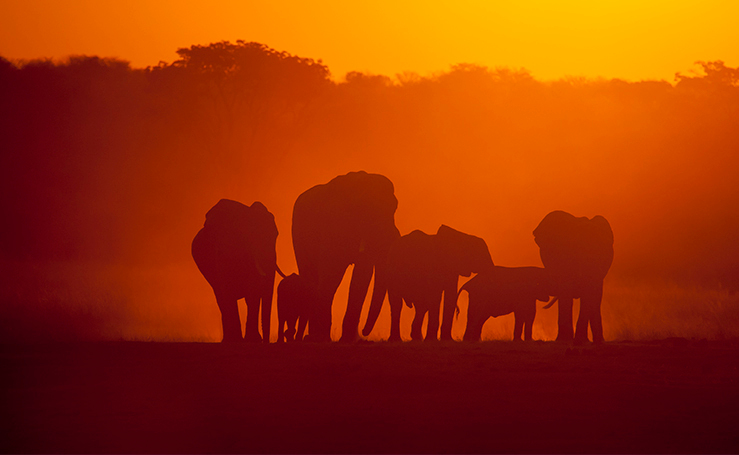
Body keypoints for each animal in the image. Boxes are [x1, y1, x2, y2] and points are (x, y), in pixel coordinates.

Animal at [191, 199, 284, 343]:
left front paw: (252, 340)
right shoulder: (223, 252)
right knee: (221, 298)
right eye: (251, 237)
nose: (267, 341)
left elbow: (253, 292)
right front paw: (246, 340)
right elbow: (231, 291)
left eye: (276, 236)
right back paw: (229, 340)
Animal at [291, 171, 400, 342]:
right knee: (310, 276)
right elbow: (332, 274)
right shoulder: (334, 223)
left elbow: (362, 277)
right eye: (366, 210)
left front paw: (349, 340)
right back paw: (313, 337)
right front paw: (322, 338)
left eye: (395, 207)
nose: (364, 331)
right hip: (298, 237)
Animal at [363, 225, 495, 341]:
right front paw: (432, 340)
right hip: (392, 272)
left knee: (420, 306)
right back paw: (397, 339)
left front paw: (447, 340)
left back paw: (416, 338)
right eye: (479, 256)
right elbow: (435, 297)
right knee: (397, 304)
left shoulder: (452, 270)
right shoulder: (432, 266)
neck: (461, 235)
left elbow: (450, 296)